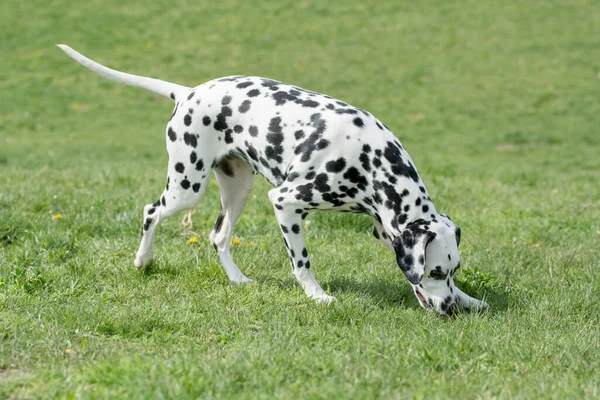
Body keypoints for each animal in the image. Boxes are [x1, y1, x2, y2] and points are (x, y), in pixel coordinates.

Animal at [57, 45, 488, 314]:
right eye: (435, 272)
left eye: (452, 271)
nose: (450, 309)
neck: (370, 158)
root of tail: (188, 92)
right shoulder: (286, 202)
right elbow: (302, 262)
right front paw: (317, 296)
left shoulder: (383, 228)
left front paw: (470, 299)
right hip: (186, 188)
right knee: (151, 212)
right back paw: (143, 260)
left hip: (238, 190)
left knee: (218, 236)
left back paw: (238, 280)